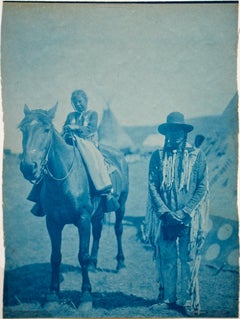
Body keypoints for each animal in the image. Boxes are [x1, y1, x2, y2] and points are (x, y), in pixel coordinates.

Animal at [18, 104, 129, 312]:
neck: (64, 180)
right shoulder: (52, 222)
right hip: (98, 213)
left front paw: (86, 296)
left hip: (122, 205)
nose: (28, 167)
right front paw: (52, 295)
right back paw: (94, 264)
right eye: (22, 129)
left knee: (118, 230)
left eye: (46, 129)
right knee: (98, 232)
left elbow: (82, 255)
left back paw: (120, 264)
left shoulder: (83, 220)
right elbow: (55, 256)